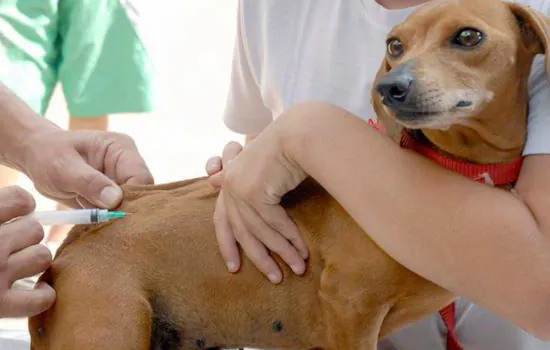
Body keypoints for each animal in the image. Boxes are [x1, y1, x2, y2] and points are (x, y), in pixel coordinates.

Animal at [29, 0, 550, 348]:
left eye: (468, 36)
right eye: (395, 44)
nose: (390, 87)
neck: (449, 166)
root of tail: (76, 239)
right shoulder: (349, 307)